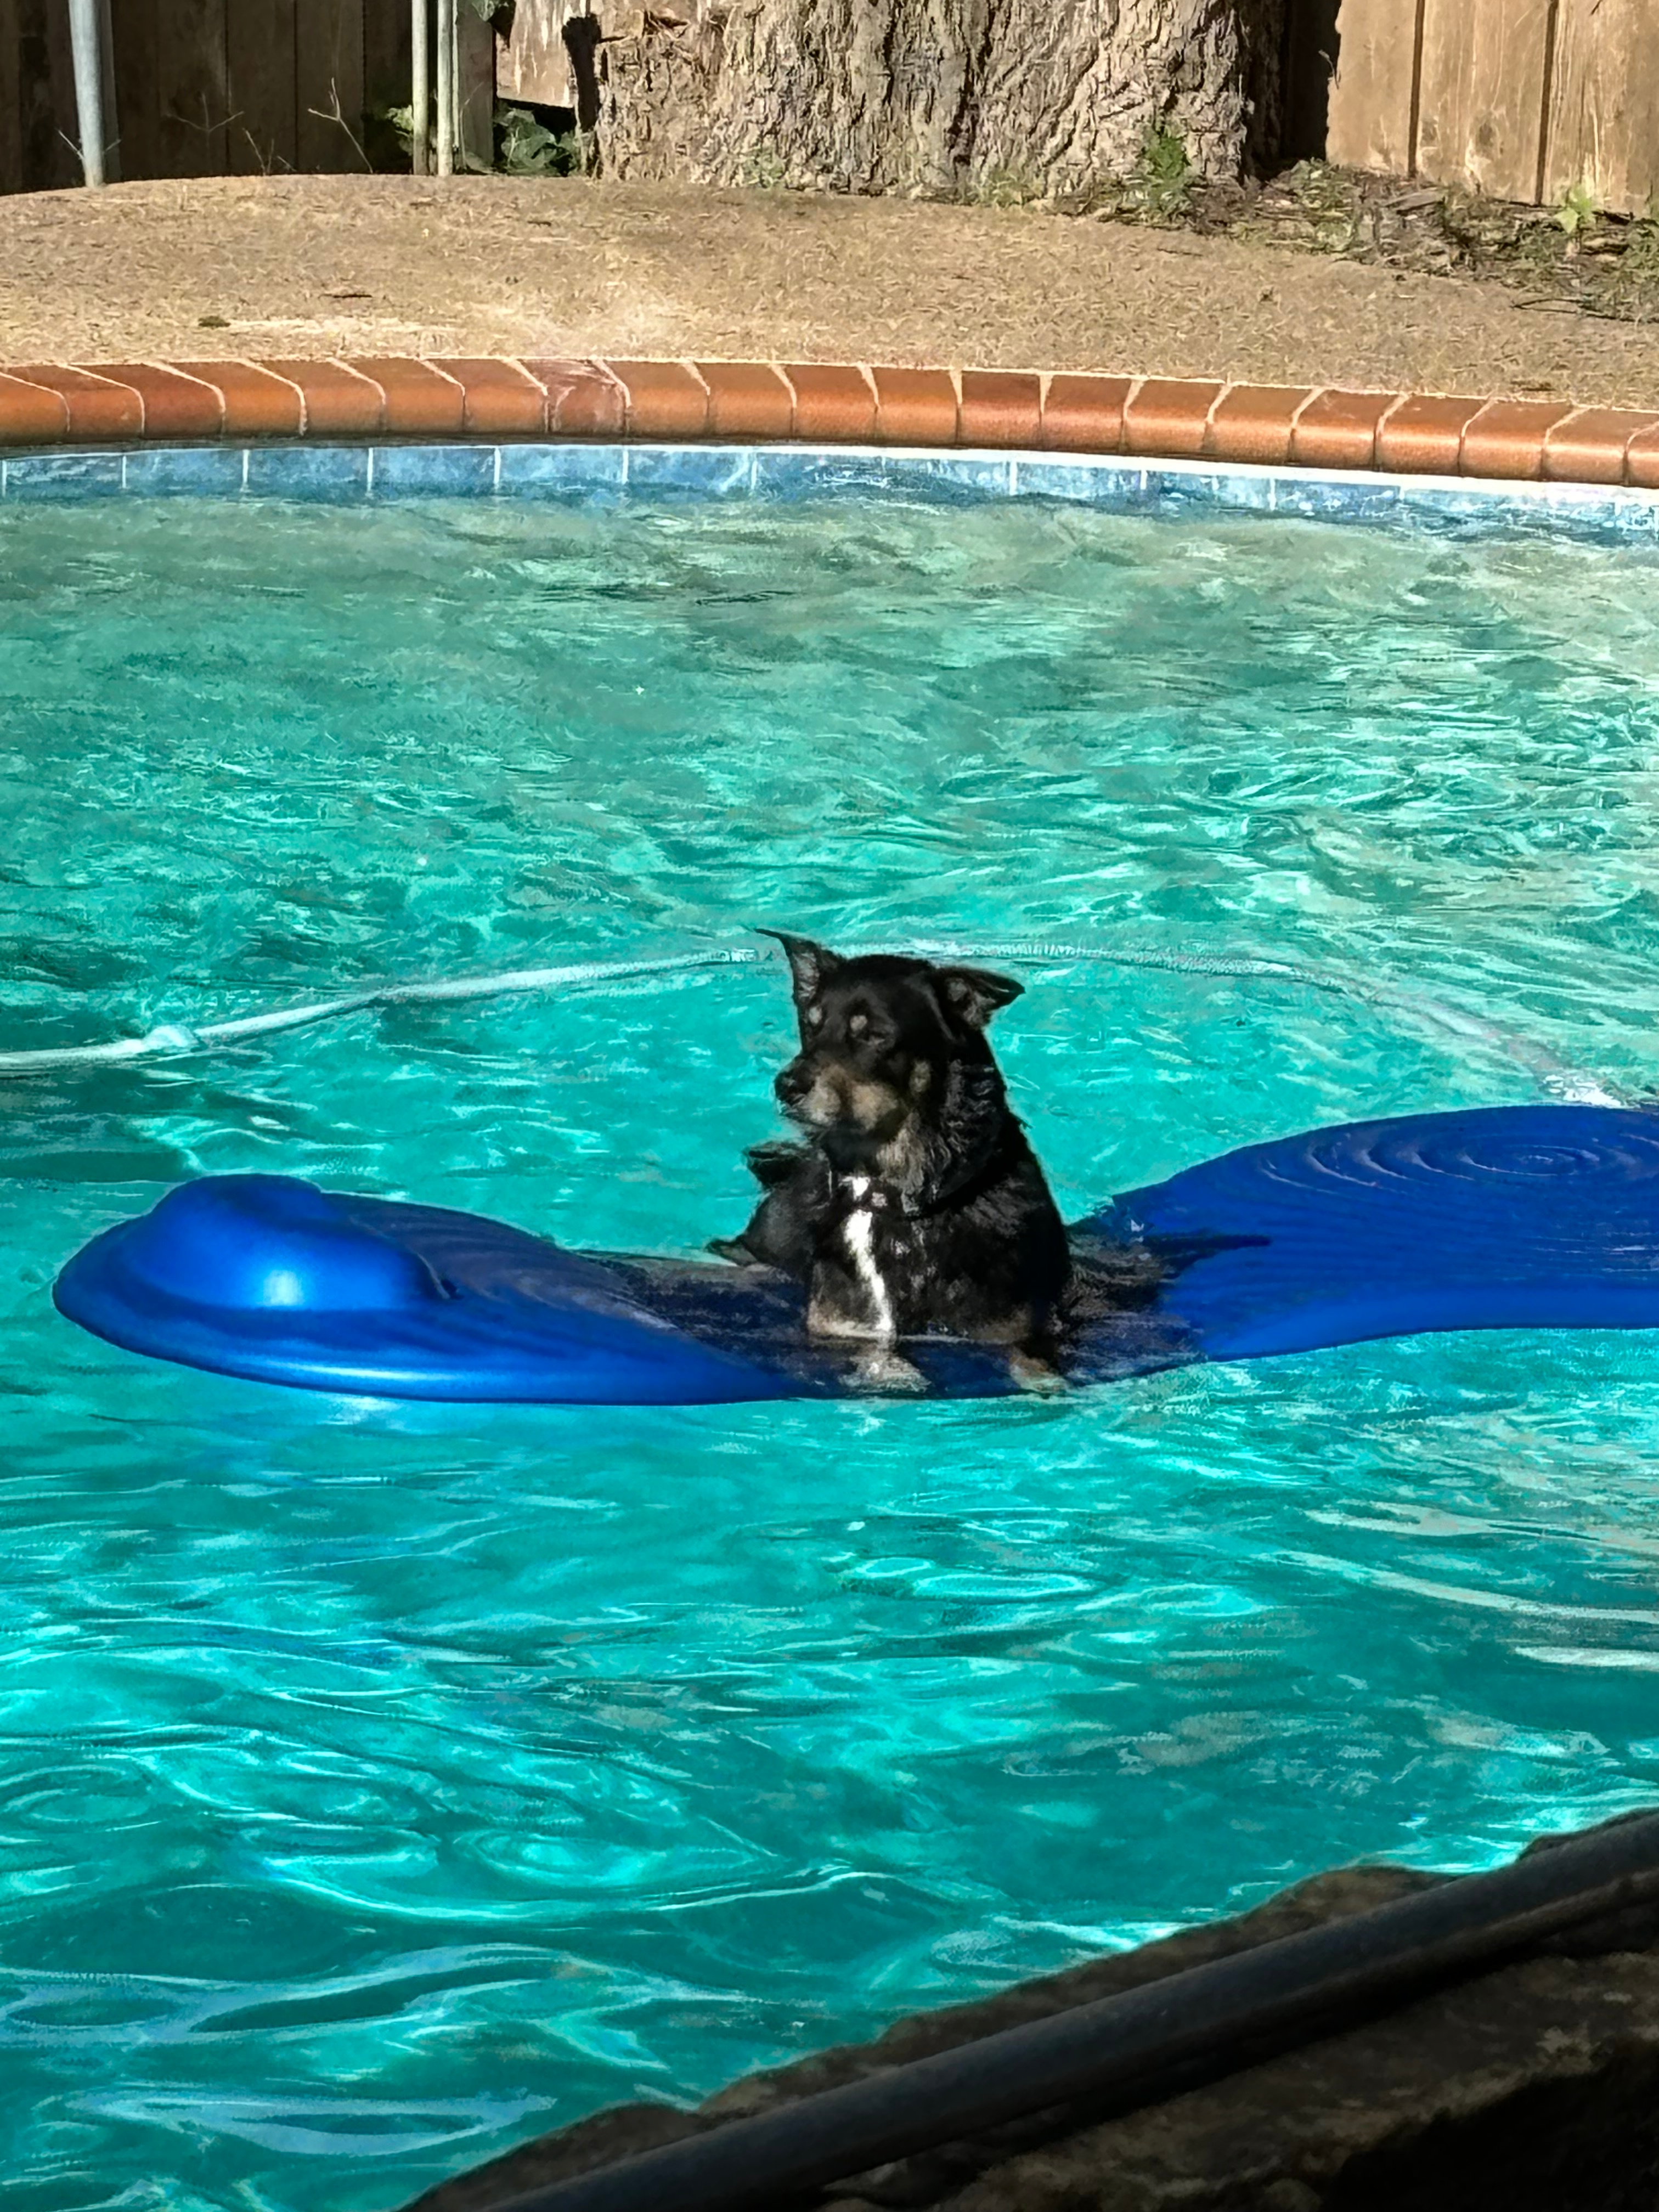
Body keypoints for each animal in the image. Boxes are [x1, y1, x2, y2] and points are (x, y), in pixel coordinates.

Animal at [712, 933, 1079, 1380]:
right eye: (811, 1025)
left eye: (873, 1035)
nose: (786, 1086)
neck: (895, 1202)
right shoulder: (845, 1328)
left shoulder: (1016, 1329)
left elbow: (1035, 1364)